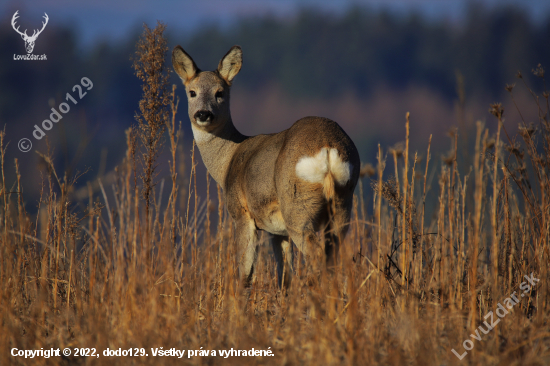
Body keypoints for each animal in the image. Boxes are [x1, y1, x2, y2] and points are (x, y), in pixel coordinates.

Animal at [174, 44, 362, 288]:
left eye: (220, 92)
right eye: (192, 92)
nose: (203, 114)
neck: (228, 162)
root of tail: (327, 148)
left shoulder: (242, 214)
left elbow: (245, 273)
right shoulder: (278, 231)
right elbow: (285, 276)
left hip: (297, 207)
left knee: (317, 257)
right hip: (342, 203)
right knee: (333, 257)